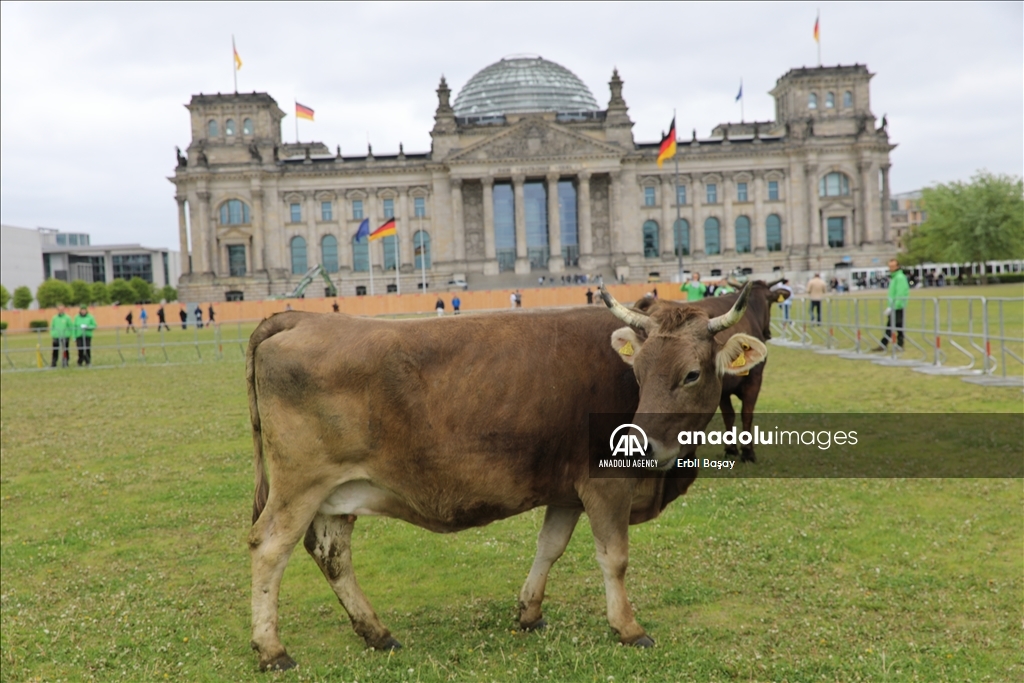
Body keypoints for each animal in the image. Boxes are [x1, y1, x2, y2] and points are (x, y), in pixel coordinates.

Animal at [243, 286, 765, 671]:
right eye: (637, 370)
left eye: (692, 374)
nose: (641, 445)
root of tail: (301, 317)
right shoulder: (606, 483)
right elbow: (613, 558)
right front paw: (628, 627)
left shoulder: (567, 489)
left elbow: (549, 547)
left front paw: (529, 612)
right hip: (298, 487)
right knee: (269, 550)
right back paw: (272, 650)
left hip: (336, 494)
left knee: (332, 554)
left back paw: (376, 632)